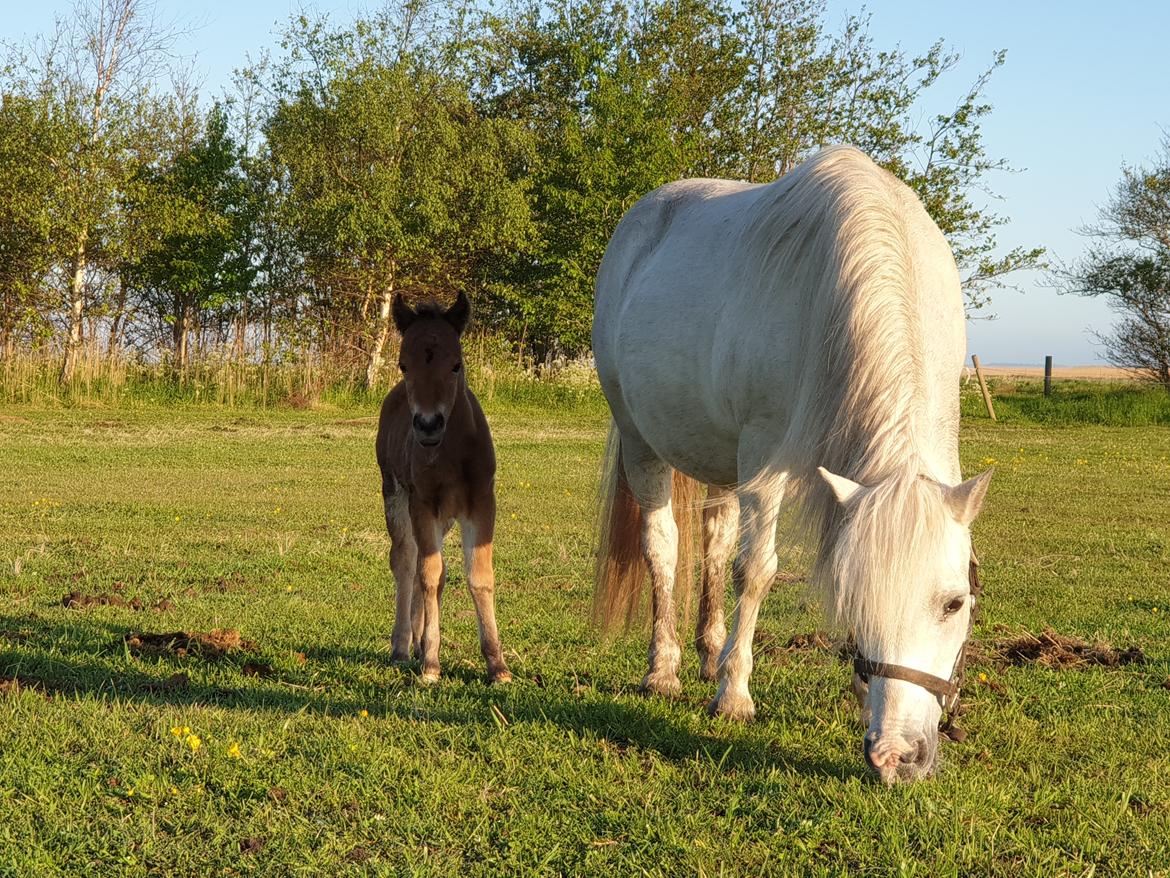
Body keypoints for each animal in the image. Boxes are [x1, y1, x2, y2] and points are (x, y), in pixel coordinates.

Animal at [376, 292, 510, 683]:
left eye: (456, 365)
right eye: (404, 366)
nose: (428, 425)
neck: (450, 453)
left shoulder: (482, 501)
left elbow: (478, 575)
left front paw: (497, 664)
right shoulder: (422, 502)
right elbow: (427, 574)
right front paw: (432, 664)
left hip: (446, 516)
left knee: (433, 563)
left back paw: (419, 643)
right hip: (394, 493)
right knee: (407, 561)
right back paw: (404, 646)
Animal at [594, 144, 987, 782]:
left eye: (954, 603)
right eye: (854, 597)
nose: (897, 757)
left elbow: (734, 560)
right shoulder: (765, 460)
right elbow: (757, 571)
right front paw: (734, 697)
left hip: (719, 457)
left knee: (715, 544)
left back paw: (709, 654)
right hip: (641, 442)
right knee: (664, 548)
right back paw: (665, 670)